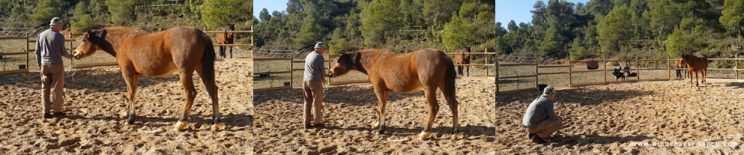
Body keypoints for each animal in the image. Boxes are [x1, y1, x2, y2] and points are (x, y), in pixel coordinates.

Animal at [71, 26, 219, 131]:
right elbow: (132, 93)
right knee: (213, 90)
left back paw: (180, 123)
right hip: (201, 69)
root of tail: (202, 34)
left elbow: (130, 93)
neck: (122, 41)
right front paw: (128, 114)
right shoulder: (135, 75)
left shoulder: (127, 73)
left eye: (84, 40)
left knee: (191, 94)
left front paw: (130, 119)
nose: (75, 53)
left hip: (185, 73)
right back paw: (215, 123)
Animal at [326, 48, 460, 140]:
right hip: (444, 85)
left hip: (429, 89)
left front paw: (381, 129)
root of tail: (443, 55)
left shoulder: (379, 89)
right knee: (453, 105)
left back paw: (425, 133)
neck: (374, 61)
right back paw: (455, 132)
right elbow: (380, 107)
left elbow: (381, 107)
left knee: (434, 108)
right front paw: (378, 124)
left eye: (339, 61)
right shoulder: (385, 91)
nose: (329, 73)